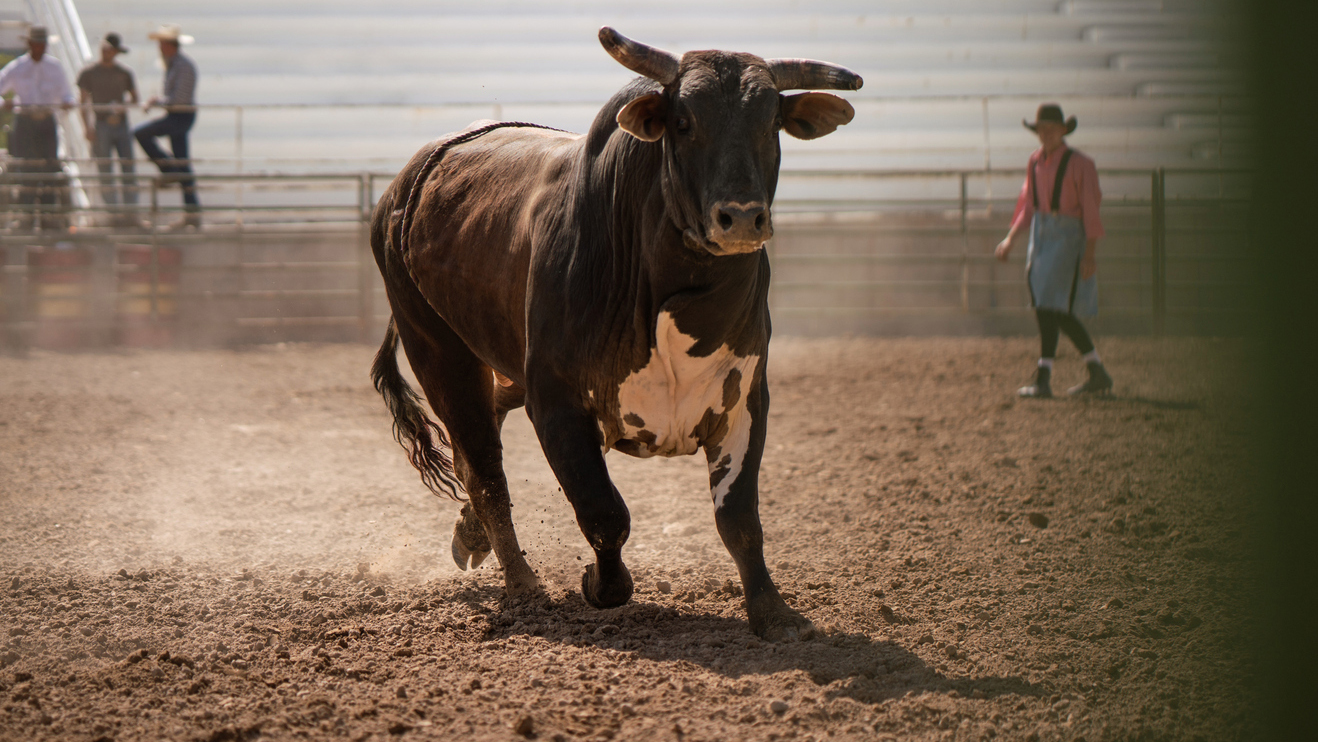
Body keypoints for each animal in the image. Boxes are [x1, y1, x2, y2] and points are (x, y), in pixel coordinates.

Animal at [369, 28, 860, 641]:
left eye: (771, 120)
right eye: (683, 122)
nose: (742, 218)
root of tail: (406, 186)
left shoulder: (745, 398)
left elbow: (739, 518)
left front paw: (773, 612)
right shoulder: (556, 402)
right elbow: (604, 513)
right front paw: (600, 585)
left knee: (482, 438)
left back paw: (473, 536)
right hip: (438, 350)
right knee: (484, 471)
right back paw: (524, 586)